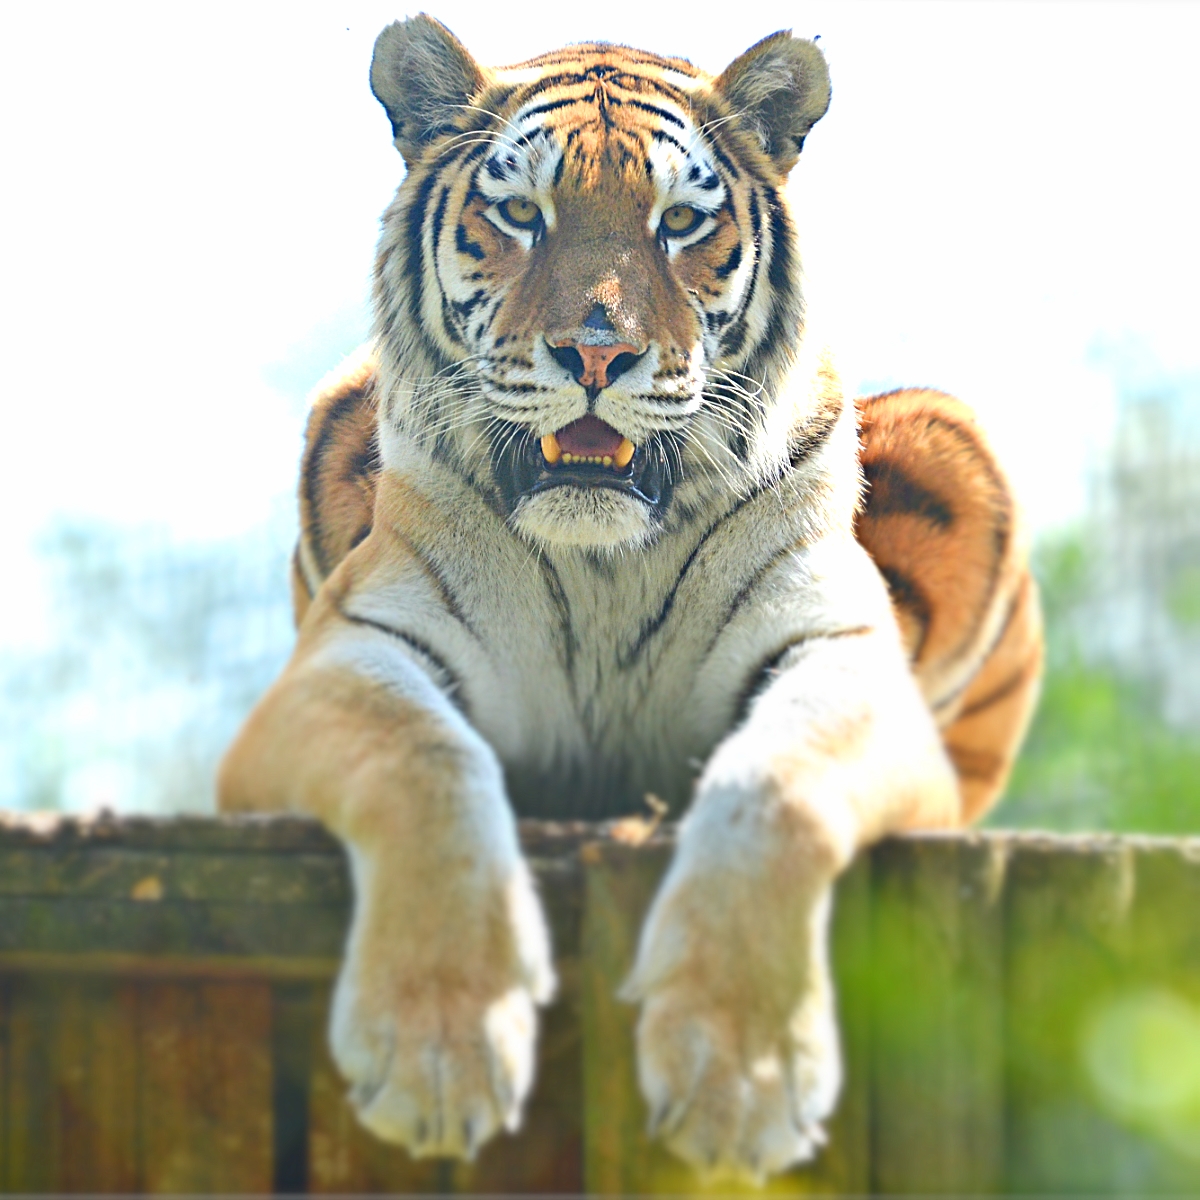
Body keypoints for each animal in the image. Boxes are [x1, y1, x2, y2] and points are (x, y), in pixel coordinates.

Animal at [219, 15, 1042, 1182]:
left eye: (680, 223)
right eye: (521, 214)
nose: (596, 354)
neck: (606, 556)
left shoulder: (839, 653)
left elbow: (774, 785)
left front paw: (739, 1080)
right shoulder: (348, 655)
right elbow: (423, 758)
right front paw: (438, 1053)